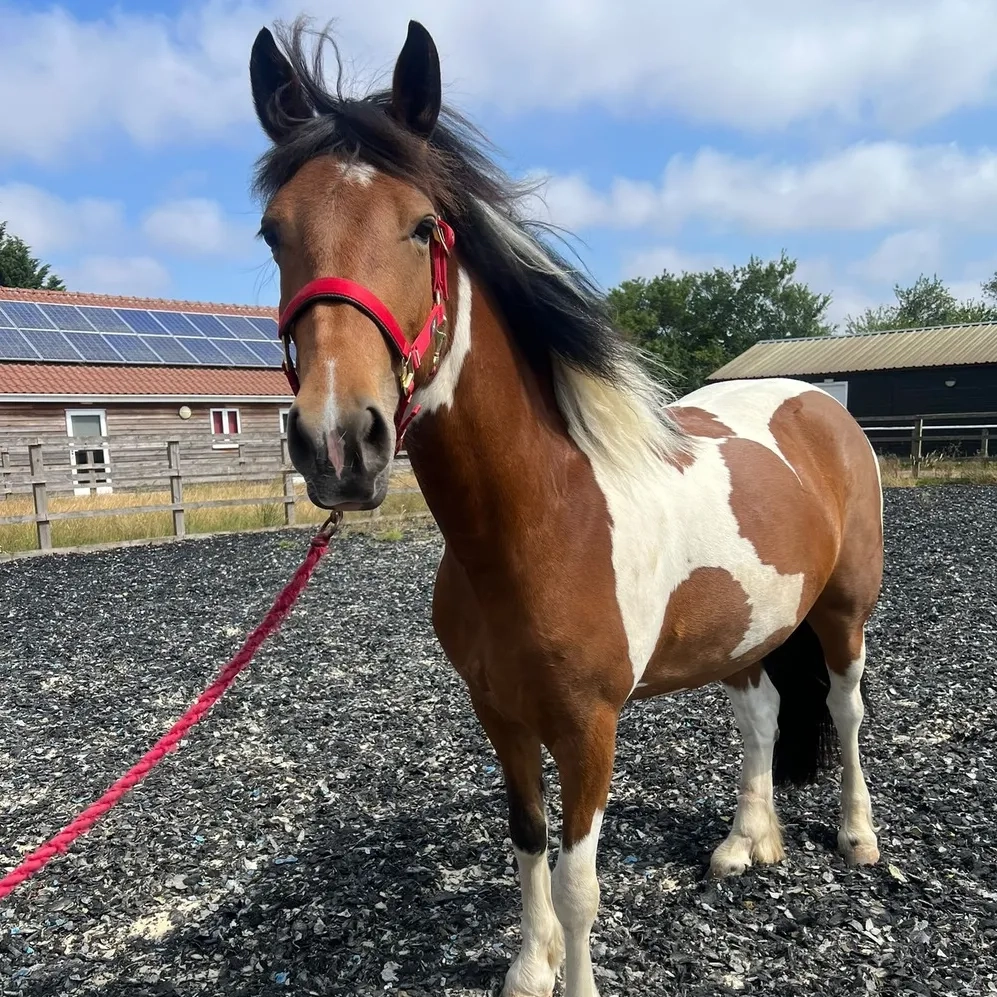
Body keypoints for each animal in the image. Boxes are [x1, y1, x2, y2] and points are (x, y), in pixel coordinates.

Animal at [248, 18, 884, 997]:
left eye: (423, 227)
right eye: (273, 232)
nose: (338, 441)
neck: (541, 521)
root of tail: (821, 404)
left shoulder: (589, 728)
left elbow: (581, 877)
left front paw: (567, 972)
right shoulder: (501, 715)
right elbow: (528, 842)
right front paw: (528, 966)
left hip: (843, 612)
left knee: (847, 712)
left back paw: (856, 836)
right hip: (747, 628)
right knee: (762, 714)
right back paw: (746, 843)